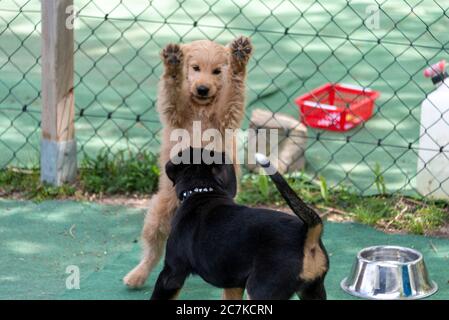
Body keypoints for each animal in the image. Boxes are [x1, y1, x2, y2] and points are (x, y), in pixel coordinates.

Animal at [123, 36, 252, 288]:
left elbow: (234, 89)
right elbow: (172, 89)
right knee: (152, 251)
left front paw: (239, 58)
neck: (201, 108)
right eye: (195, 68)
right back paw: (137, 275)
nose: (202, 89)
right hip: (157, 215)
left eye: (217, 71)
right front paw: (173, 62)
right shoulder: (176, 113)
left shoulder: (226, 115)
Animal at [149, 148, 328, 300]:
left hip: (261, 290)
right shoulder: (234, 284)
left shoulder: (172, 273)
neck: (203, 191)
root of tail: (307, 234)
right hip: (312, 290)